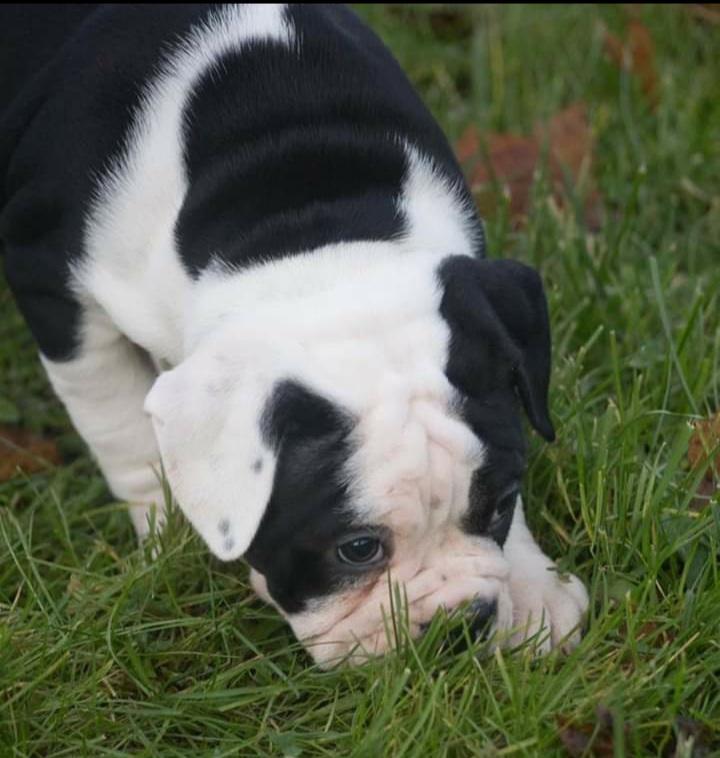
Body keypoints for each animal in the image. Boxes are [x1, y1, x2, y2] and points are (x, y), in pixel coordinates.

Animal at [0, 4, 588, 664]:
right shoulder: (55, 289)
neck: (302, 218)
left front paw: (533, 588)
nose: (461, 625)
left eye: (501, 504)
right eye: (357, 549)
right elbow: (122, 428)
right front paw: (167, 539)